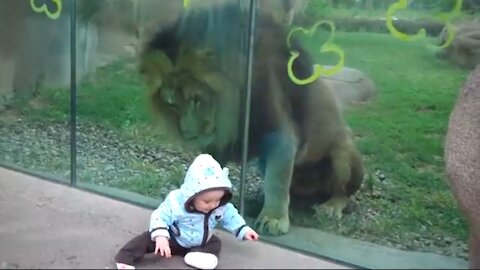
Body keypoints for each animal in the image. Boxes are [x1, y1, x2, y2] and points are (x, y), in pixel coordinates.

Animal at [139, 1, 364, 235]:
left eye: (197, 99)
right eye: (172, 104)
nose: (188, 134)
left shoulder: (278, 132)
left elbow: (277, 180)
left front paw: (273, 219)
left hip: (343, 149)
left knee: (341, 191)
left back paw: (329, 207)